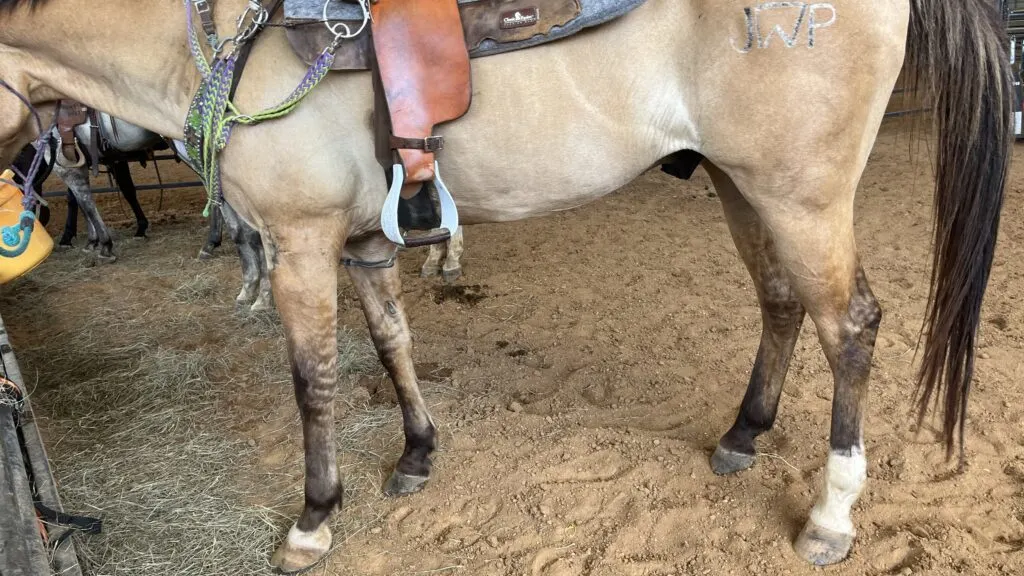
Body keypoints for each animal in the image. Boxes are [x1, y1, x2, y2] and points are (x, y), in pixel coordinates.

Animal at [0, 1, 1007, 569]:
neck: (227, 46)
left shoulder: (300, 241)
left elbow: (312, 382)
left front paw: (315, 518)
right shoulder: (363, 245)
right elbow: (391, 343)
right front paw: (416, 453)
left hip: (803, 196)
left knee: (853, 327)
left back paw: (831, 517)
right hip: (742, 184)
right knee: (783, 303)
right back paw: (743, 434)